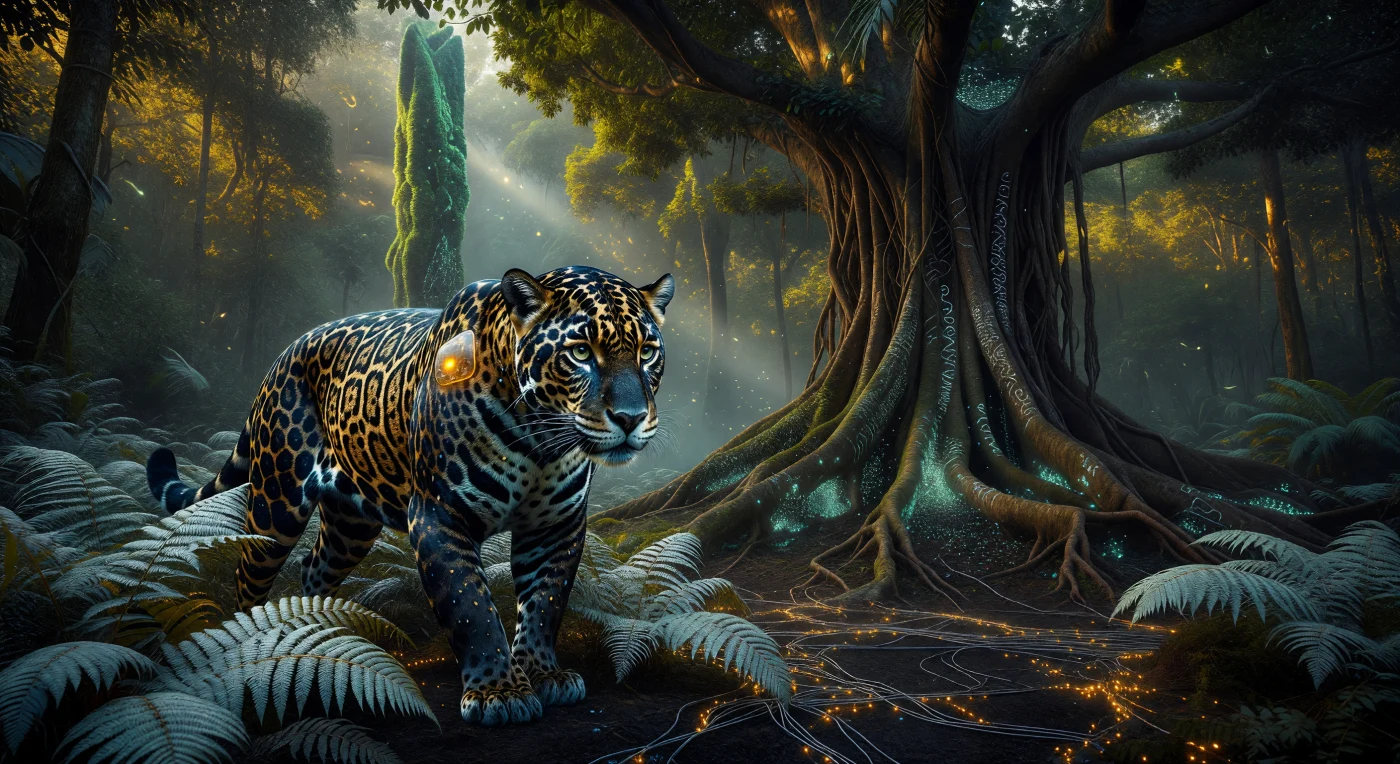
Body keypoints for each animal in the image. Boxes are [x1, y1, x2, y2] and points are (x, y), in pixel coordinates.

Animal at [145, 265, 674, 726]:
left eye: (648, 351)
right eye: (581, 352)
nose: (630, 417)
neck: (540, 443)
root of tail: (283, 354)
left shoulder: (555, 527)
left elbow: (545, 602)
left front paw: (544, 676)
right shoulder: (440, 517)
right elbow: (471, 607)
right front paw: (498, 693)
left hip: (351, 525)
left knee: (314, 567)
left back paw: (320, 633)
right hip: (277, 501)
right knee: (250, 574)